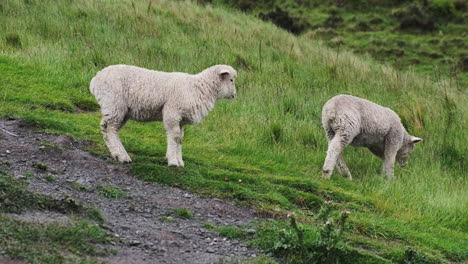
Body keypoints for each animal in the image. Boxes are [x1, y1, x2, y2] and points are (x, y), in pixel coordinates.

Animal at [90, 64, 238, 167]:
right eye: (231, 80)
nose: (234, 95)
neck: (199, 88)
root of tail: (96, 79)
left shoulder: (181, 119)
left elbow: (180, 138)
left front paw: (179, 161)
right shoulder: (172, 113)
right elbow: (175, 136)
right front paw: (173, 161)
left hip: (119, 110)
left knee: (108, 130)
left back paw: (117, 154)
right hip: (114, 105)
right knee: (110, 129)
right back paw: (123, 157)